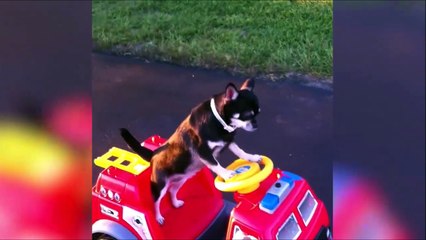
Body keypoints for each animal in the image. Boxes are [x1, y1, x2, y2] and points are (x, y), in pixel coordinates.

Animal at [119, 79, 260, 225]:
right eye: (247, 115)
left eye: (258, 113)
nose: (256, 125)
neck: (219, 122)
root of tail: (153, 154)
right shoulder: (202, 150)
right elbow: (215, 164)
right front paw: (226, 174)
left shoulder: (229, 141)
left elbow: (240, 151)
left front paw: (252, 157)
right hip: (159, 186)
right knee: (156, 203)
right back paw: (158, 217)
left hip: (181, 180)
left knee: (172, 190)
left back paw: (175, 203)